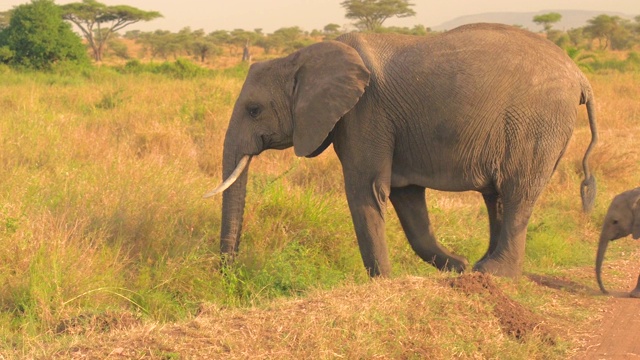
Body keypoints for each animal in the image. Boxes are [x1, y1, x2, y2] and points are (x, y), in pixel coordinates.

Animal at [206, 23, 600, 278]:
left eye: (253, 110)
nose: (228, 273)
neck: (300, 56)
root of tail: (581, 75)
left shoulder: (365, 112)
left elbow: (365, 191)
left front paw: (383, 283)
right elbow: (406, 198)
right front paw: (455, 266)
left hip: (537, 122)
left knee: (518, 191)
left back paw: (494, 273)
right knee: (498, 195)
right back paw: (478, 268)